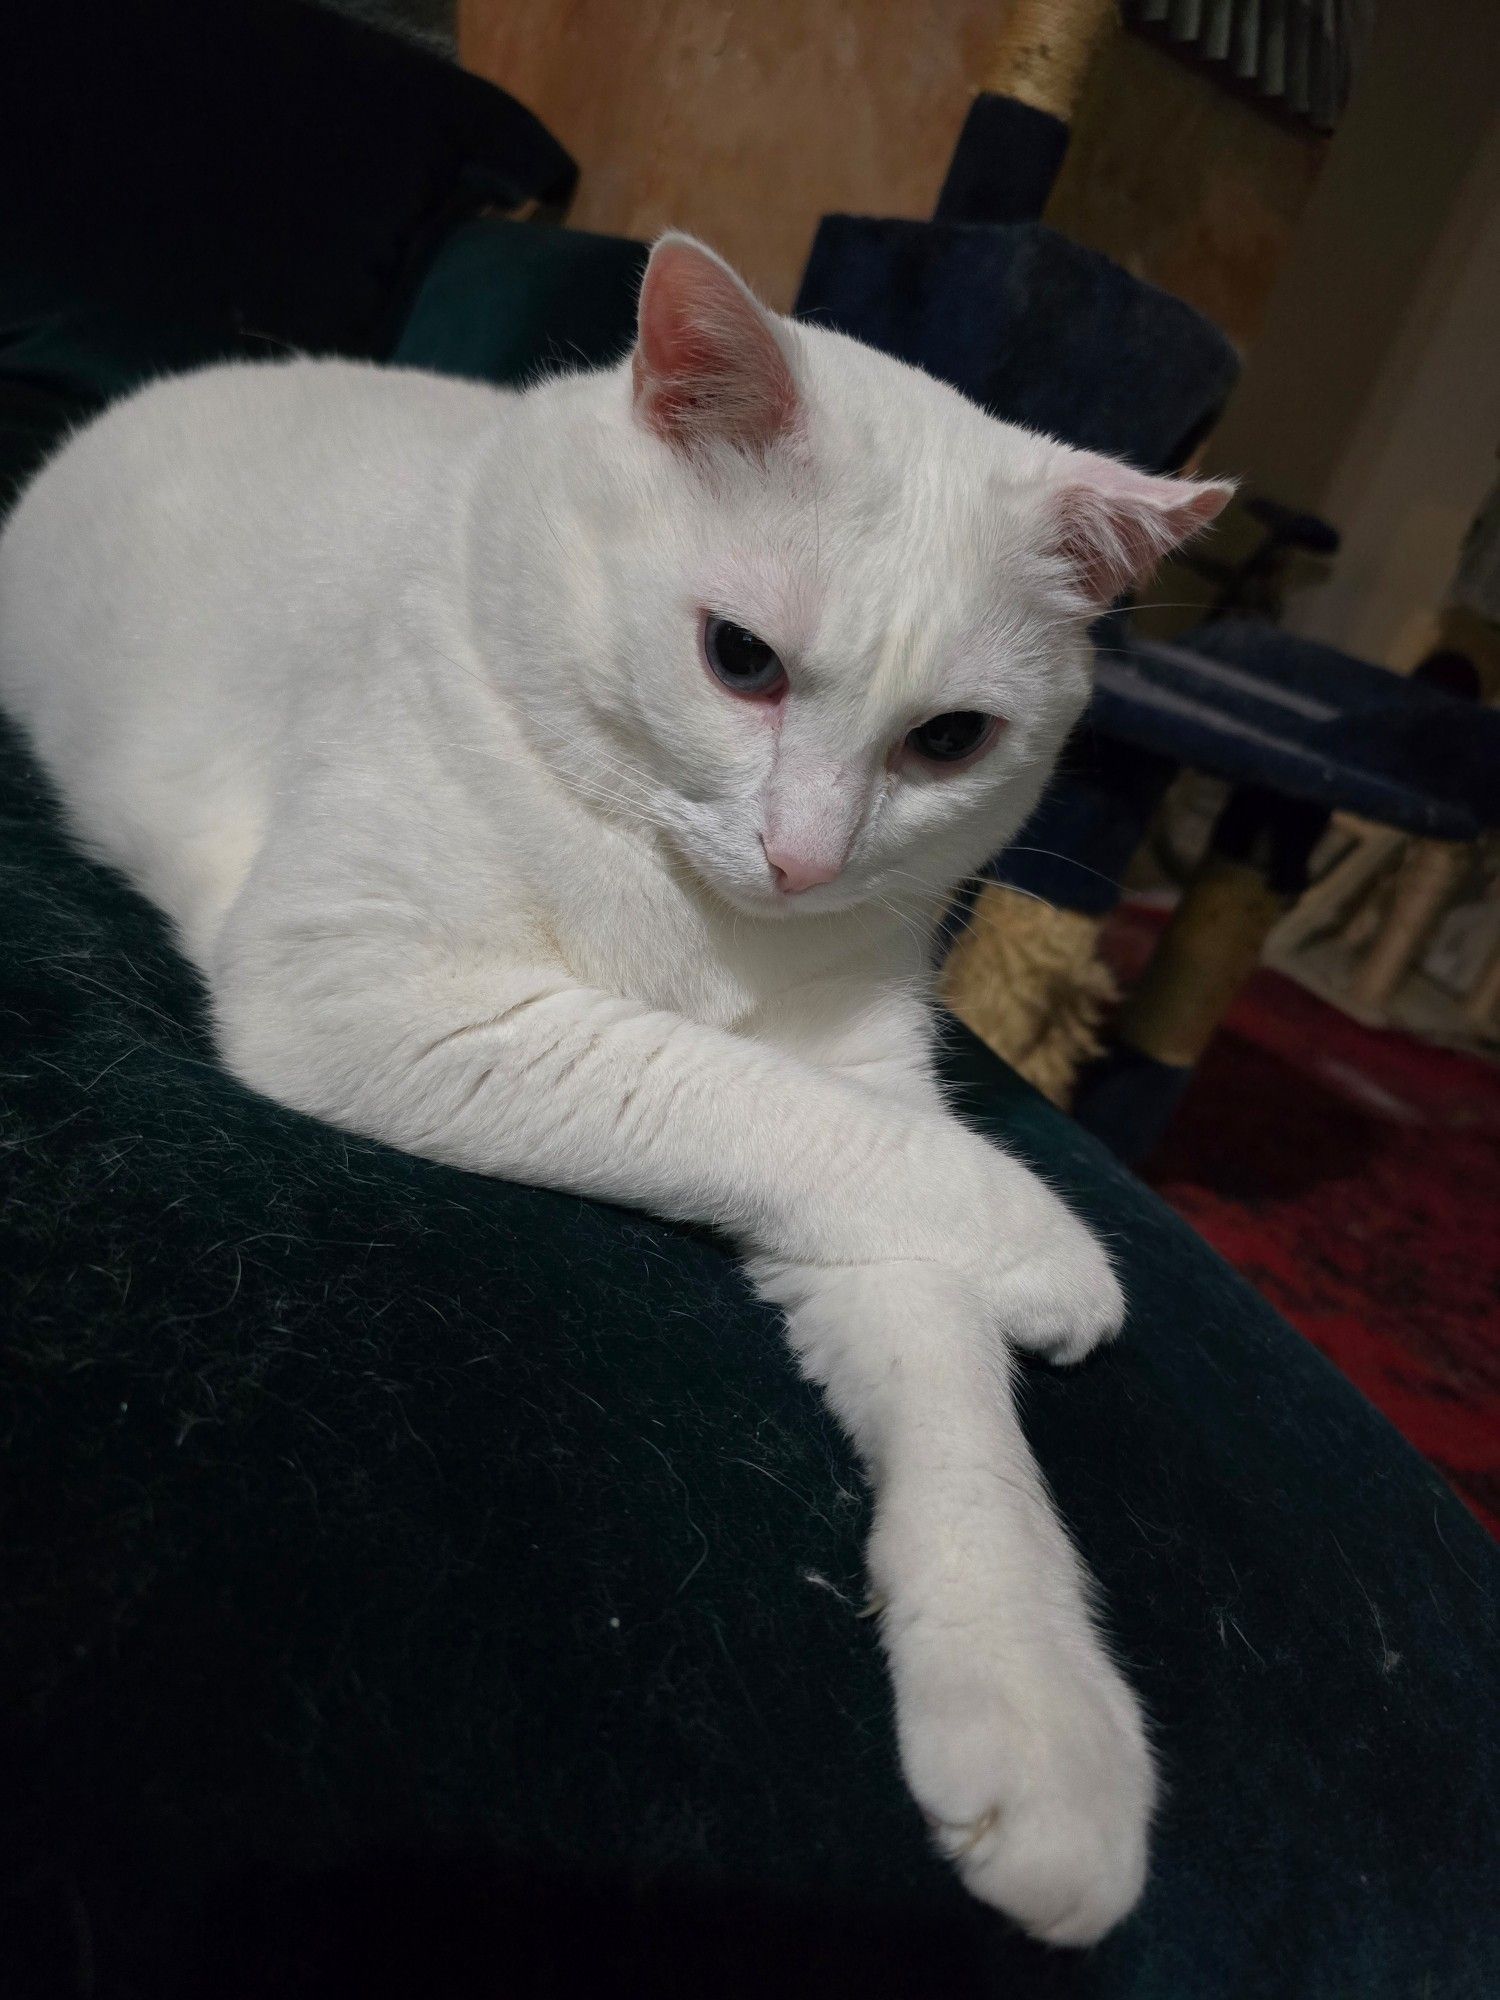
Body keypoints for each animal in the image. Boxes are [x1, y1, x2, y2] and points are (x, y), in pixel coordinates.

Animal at [0, 230, 1224, 1936]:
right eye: (739, 661)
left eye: (951, 743)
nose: (805, 861)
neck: (703, 917)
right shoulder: (370, 988)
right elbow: (753, 1103)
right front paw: (1057, 1251)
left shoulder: (868, 1107)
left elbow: (951, 1374)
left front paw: (1041, 1722)